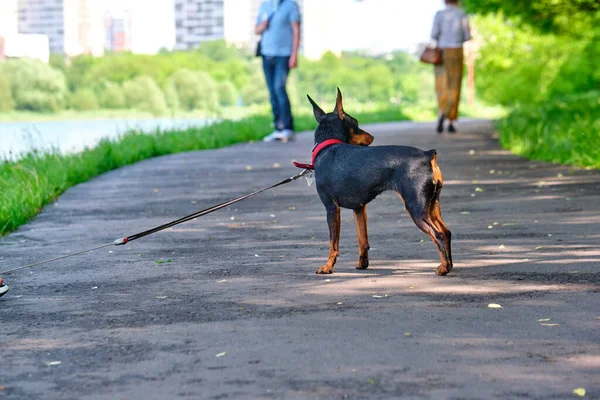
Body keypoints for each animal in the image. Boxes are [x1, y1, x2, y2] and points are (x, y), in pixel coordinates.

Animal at [302, 88, 452, 276]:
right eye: (356, 124)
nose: (372, 137)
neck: (328, 147)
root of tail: (428, 154)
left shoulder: (331, 208)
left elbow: (333, 243)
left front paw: (328, 267)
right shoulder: (359, 208)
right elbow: (362, 239)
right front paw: (362, 263)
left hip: (416, 208)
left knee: (437, 234)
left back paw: (443, 268)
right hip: (431, 205)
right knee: (446, 232)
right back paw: (449, 265)